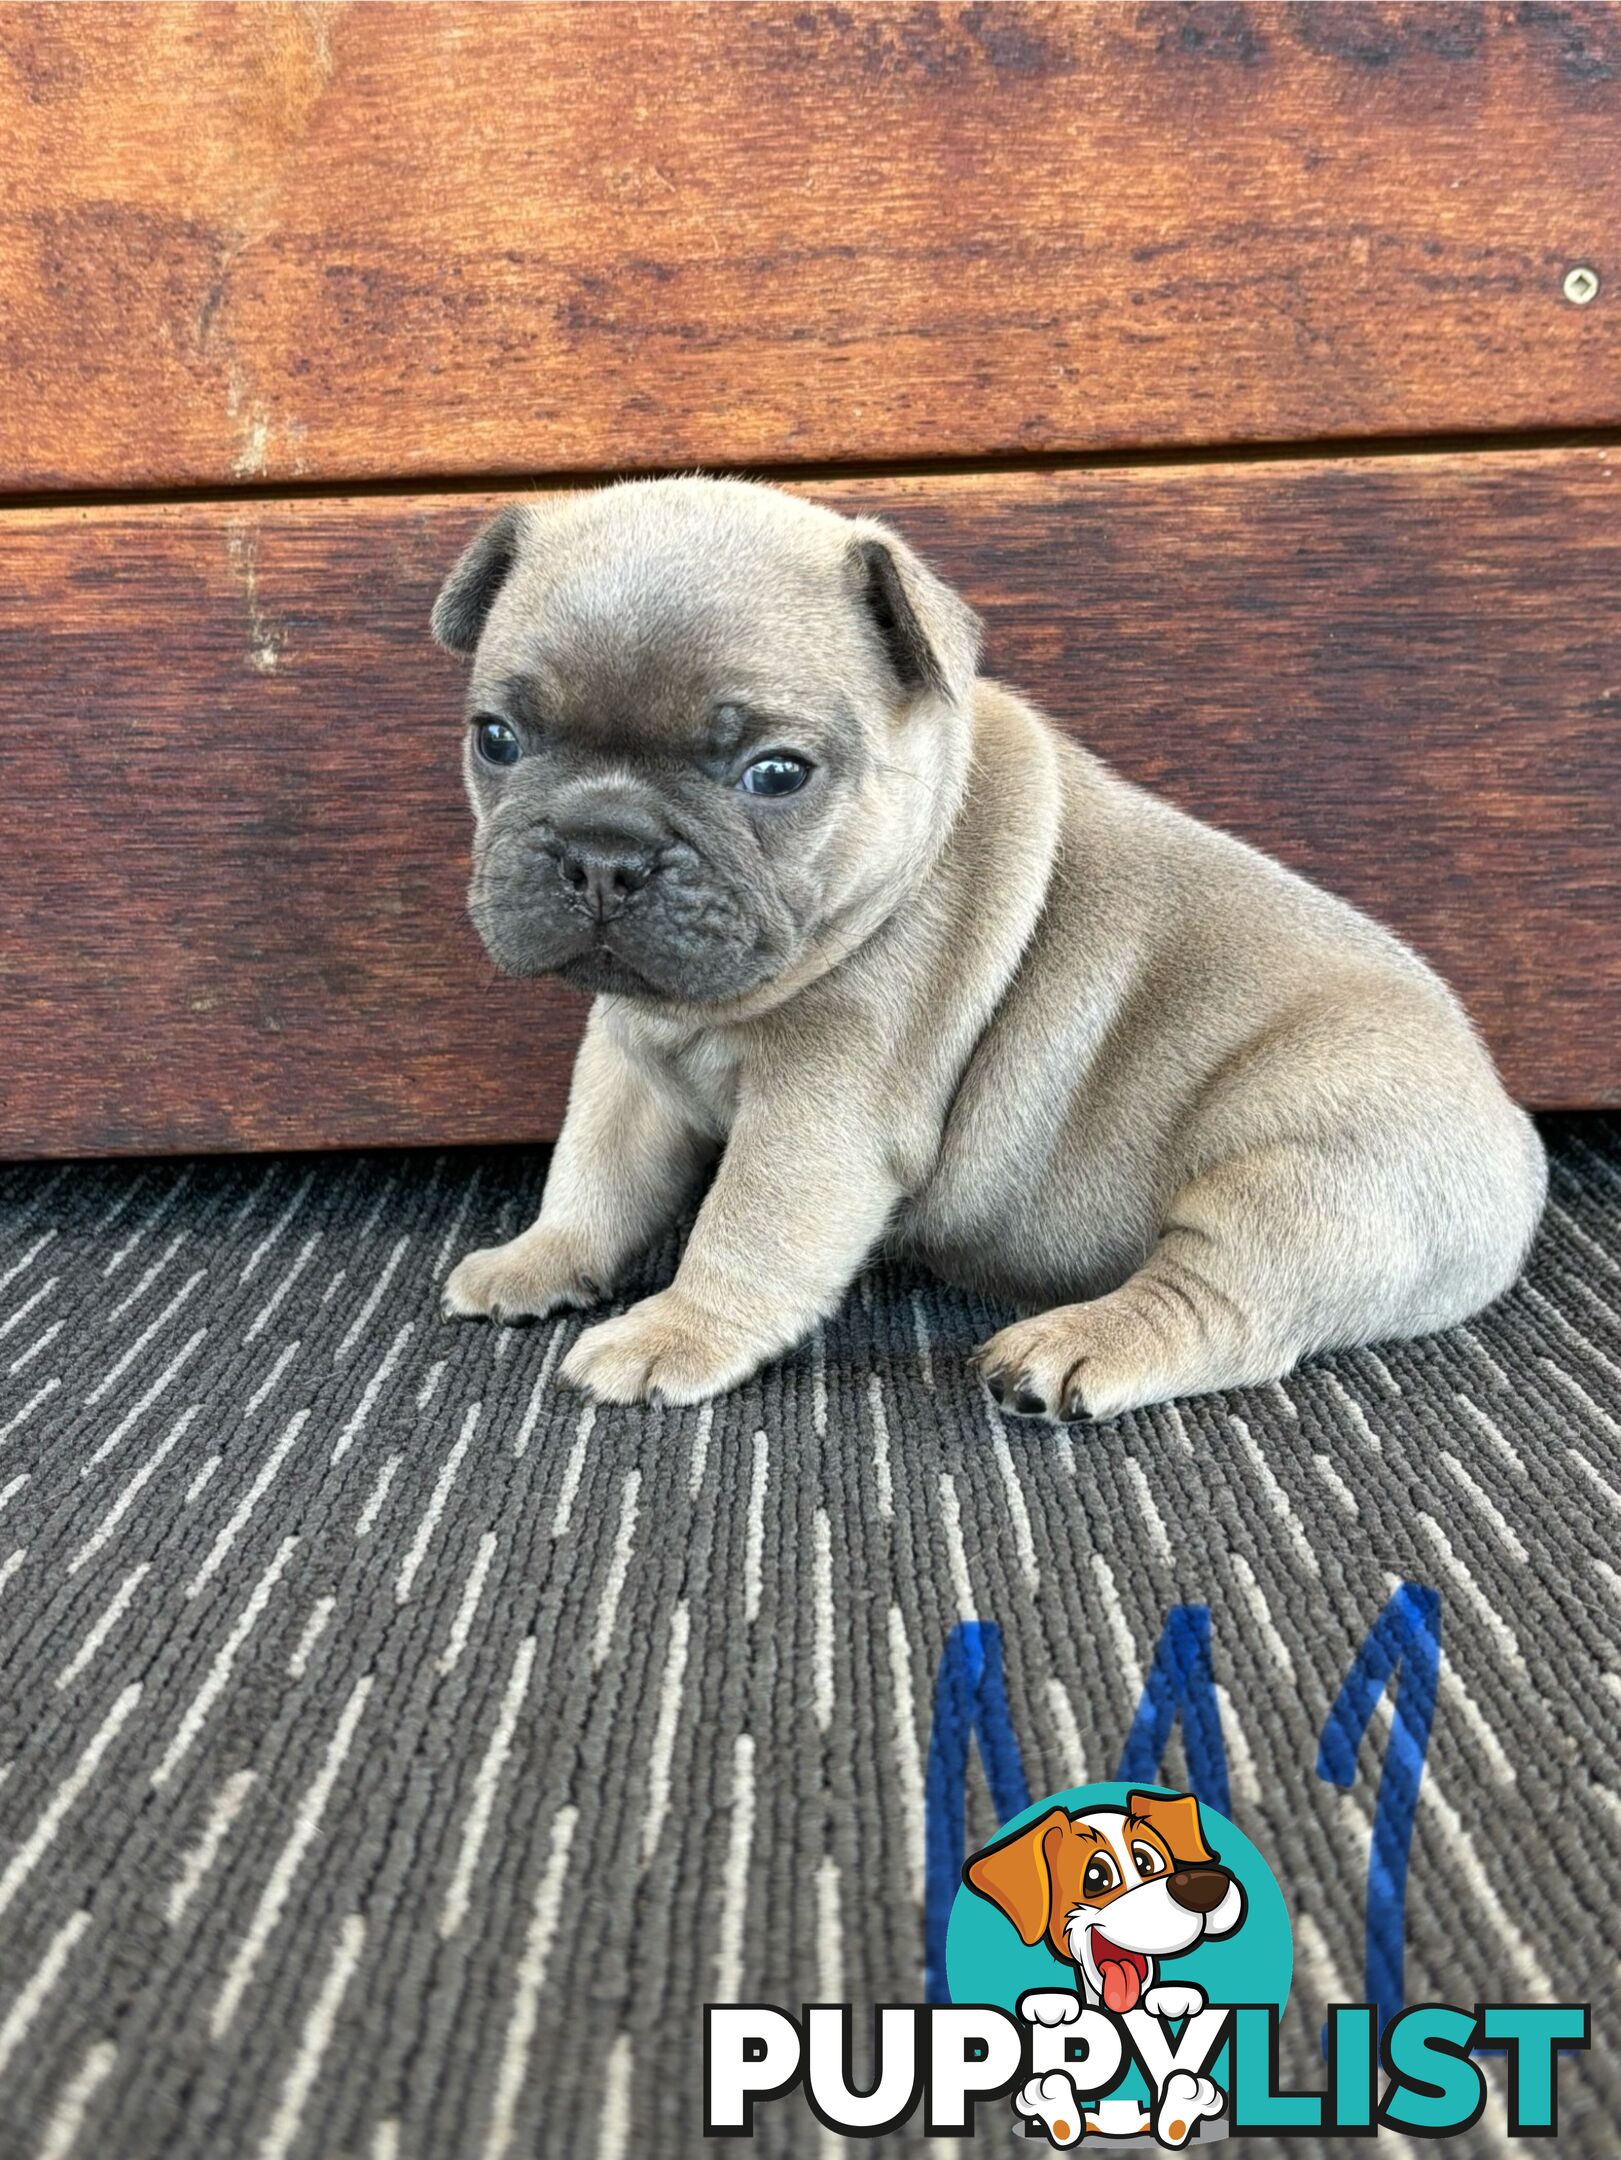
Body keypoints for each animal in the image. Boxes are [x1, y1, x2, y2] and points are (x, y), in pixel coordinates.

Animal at [432, 477, 1547, 1416]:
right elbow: (593, 1171)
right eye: (496, 739)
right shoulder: (624, 1063)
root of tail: (1512, 1139)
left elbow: (745, 1224)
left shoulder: (821, 1112)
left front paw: (672, 1332)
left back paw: (1070, 1347)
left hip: (1306, 1171)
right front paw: (540, 1256)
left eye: (777, 773)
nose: (603, 851)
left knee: (1223, 1305)